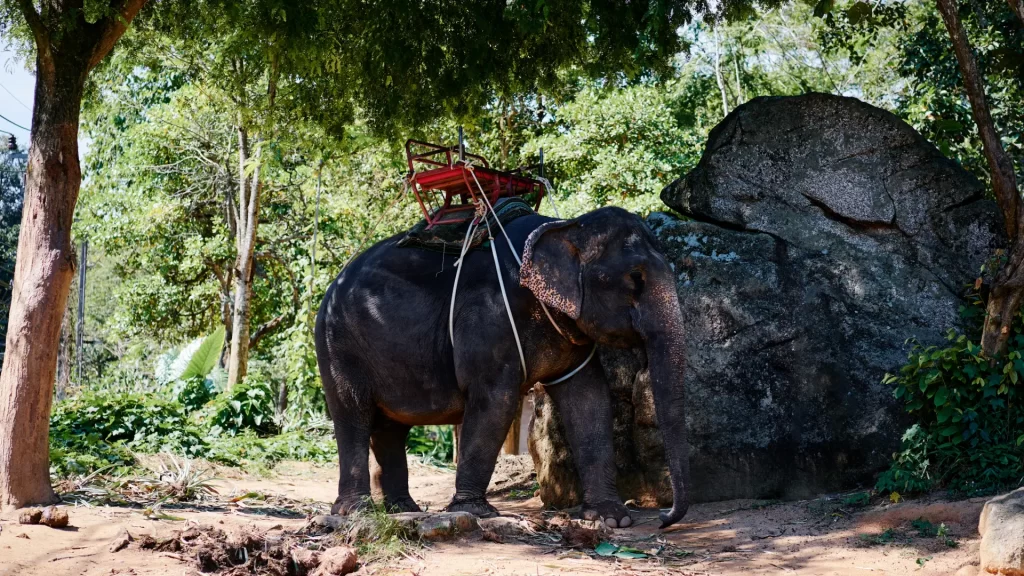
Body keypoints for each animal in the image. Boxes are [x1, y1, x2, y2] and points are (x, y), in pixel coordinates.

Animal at [313, 203, 688, 528]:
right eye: (636, 277)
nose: (663, 517)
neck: (564, 226)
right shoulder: (489, 316)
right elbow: (496, 401)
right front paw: (474, 512)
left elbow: (589, 398)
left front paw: (610, 518)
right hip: (337, 344)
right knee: (352, 413)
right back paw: (356, 511)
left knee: (390, 428)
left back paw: (403, 509)